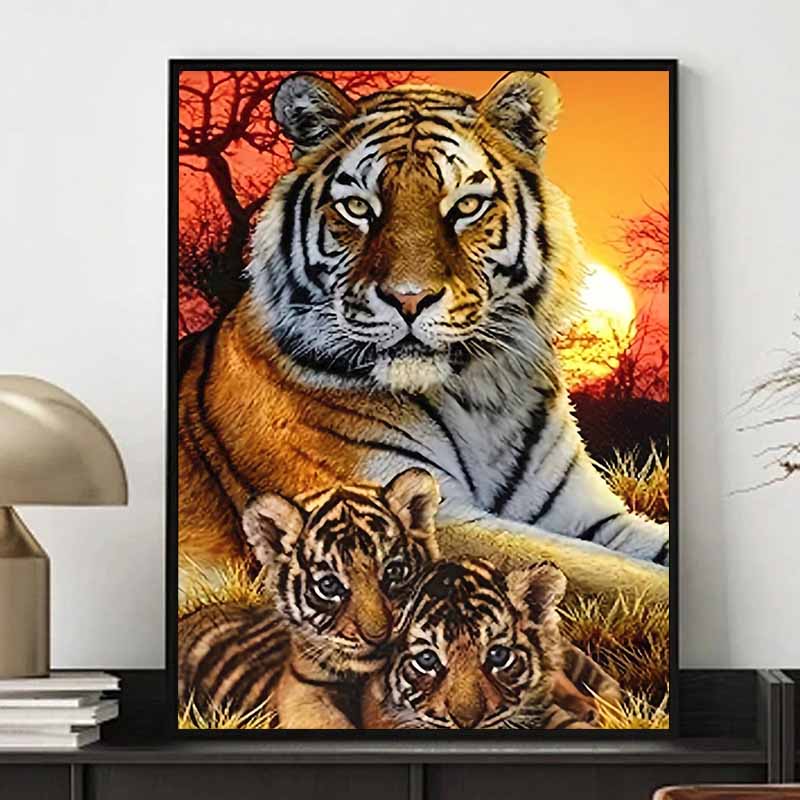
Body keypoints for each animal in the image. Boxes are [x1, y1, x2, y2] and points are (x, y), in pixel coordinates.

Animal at [178, 69, 669, 589]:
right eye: (357, 208)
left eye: (467, 205)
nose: (408, 298)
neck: (482, 396)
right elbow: (609, 573)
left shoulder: (587, 513)